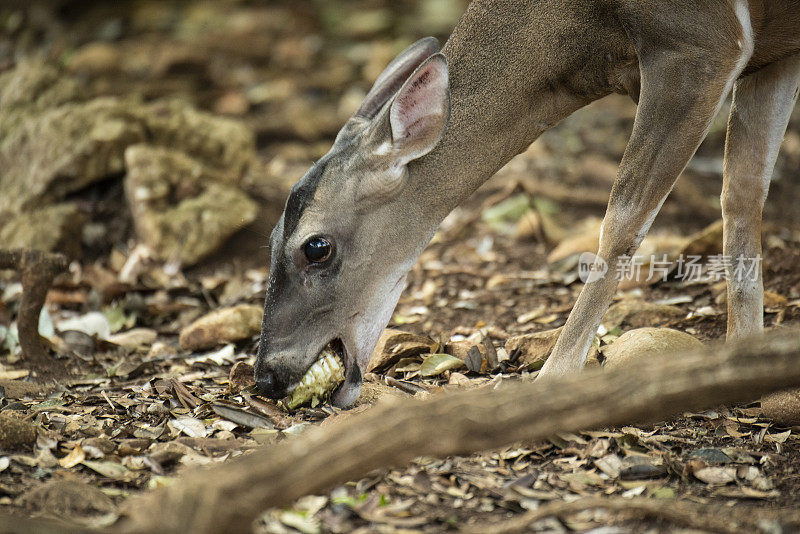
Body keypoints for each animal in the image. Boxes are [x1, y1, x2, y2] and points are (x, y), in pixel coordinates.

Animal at [253, 0, 800, 408]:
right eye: (271, 236)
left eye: (316, 247)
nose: (266, 377)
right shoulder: (772, 55)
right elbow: (742, 194)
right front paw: (741, 360)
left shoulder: (703, 43)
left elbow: (623, 217)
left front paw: (554, 377)